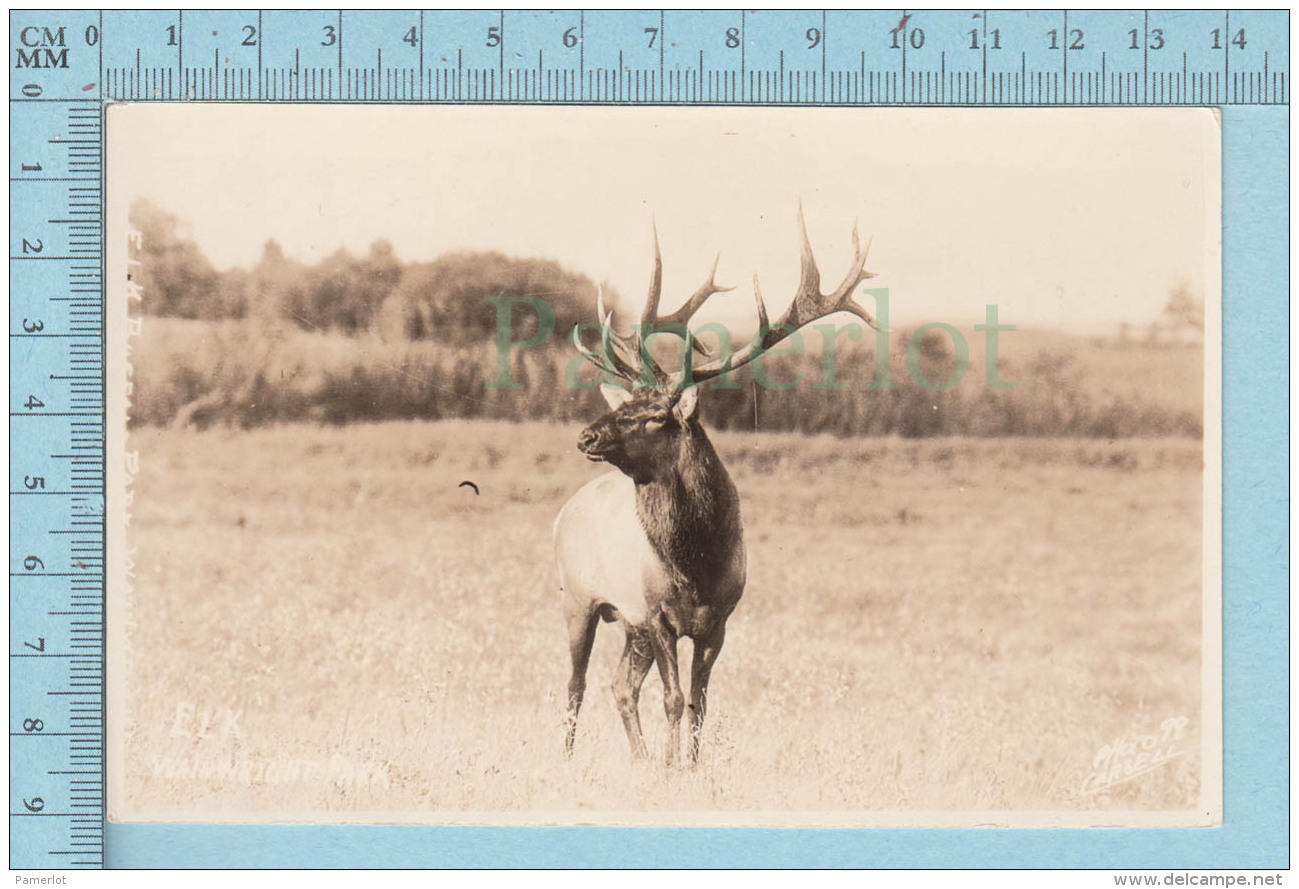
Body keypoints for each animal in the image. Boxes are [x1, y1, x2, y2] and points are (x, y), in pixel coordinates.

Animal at [553, 207, 878, 764]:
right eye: (625, 403)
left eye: (655, 415)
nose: (586, 436)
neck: (697, 562)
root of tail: (563, 512)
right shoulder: (657, 612)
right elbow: (671, 697)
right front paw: (670, 768)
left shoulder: (719, 620)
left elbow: (697, 702)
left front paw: (687, 767)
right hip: (578, 597)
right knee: (575, 685)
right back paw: (568, 759)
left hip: (630, 626)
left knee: (620, 687)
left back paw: (638, 760)